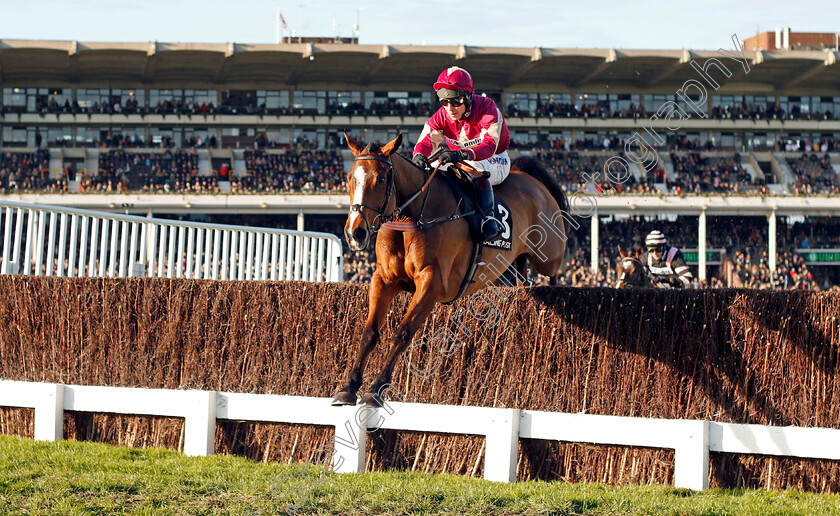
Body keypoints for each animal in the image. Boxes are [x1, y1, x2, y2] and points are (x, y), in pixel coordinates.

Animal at [332, 134, 568, 408]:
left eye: (380, 179)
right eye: (350, 177)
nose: (355, 233)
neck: (411, 216)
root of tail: (529, 179)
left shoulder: (431, 283)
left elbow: (402, 333)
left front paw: (376, 389)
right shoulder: (384, 279)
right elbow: (369, 332)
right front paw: (348, 387)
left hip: (548, 253)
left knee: (554, 269)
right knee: (521, 270)